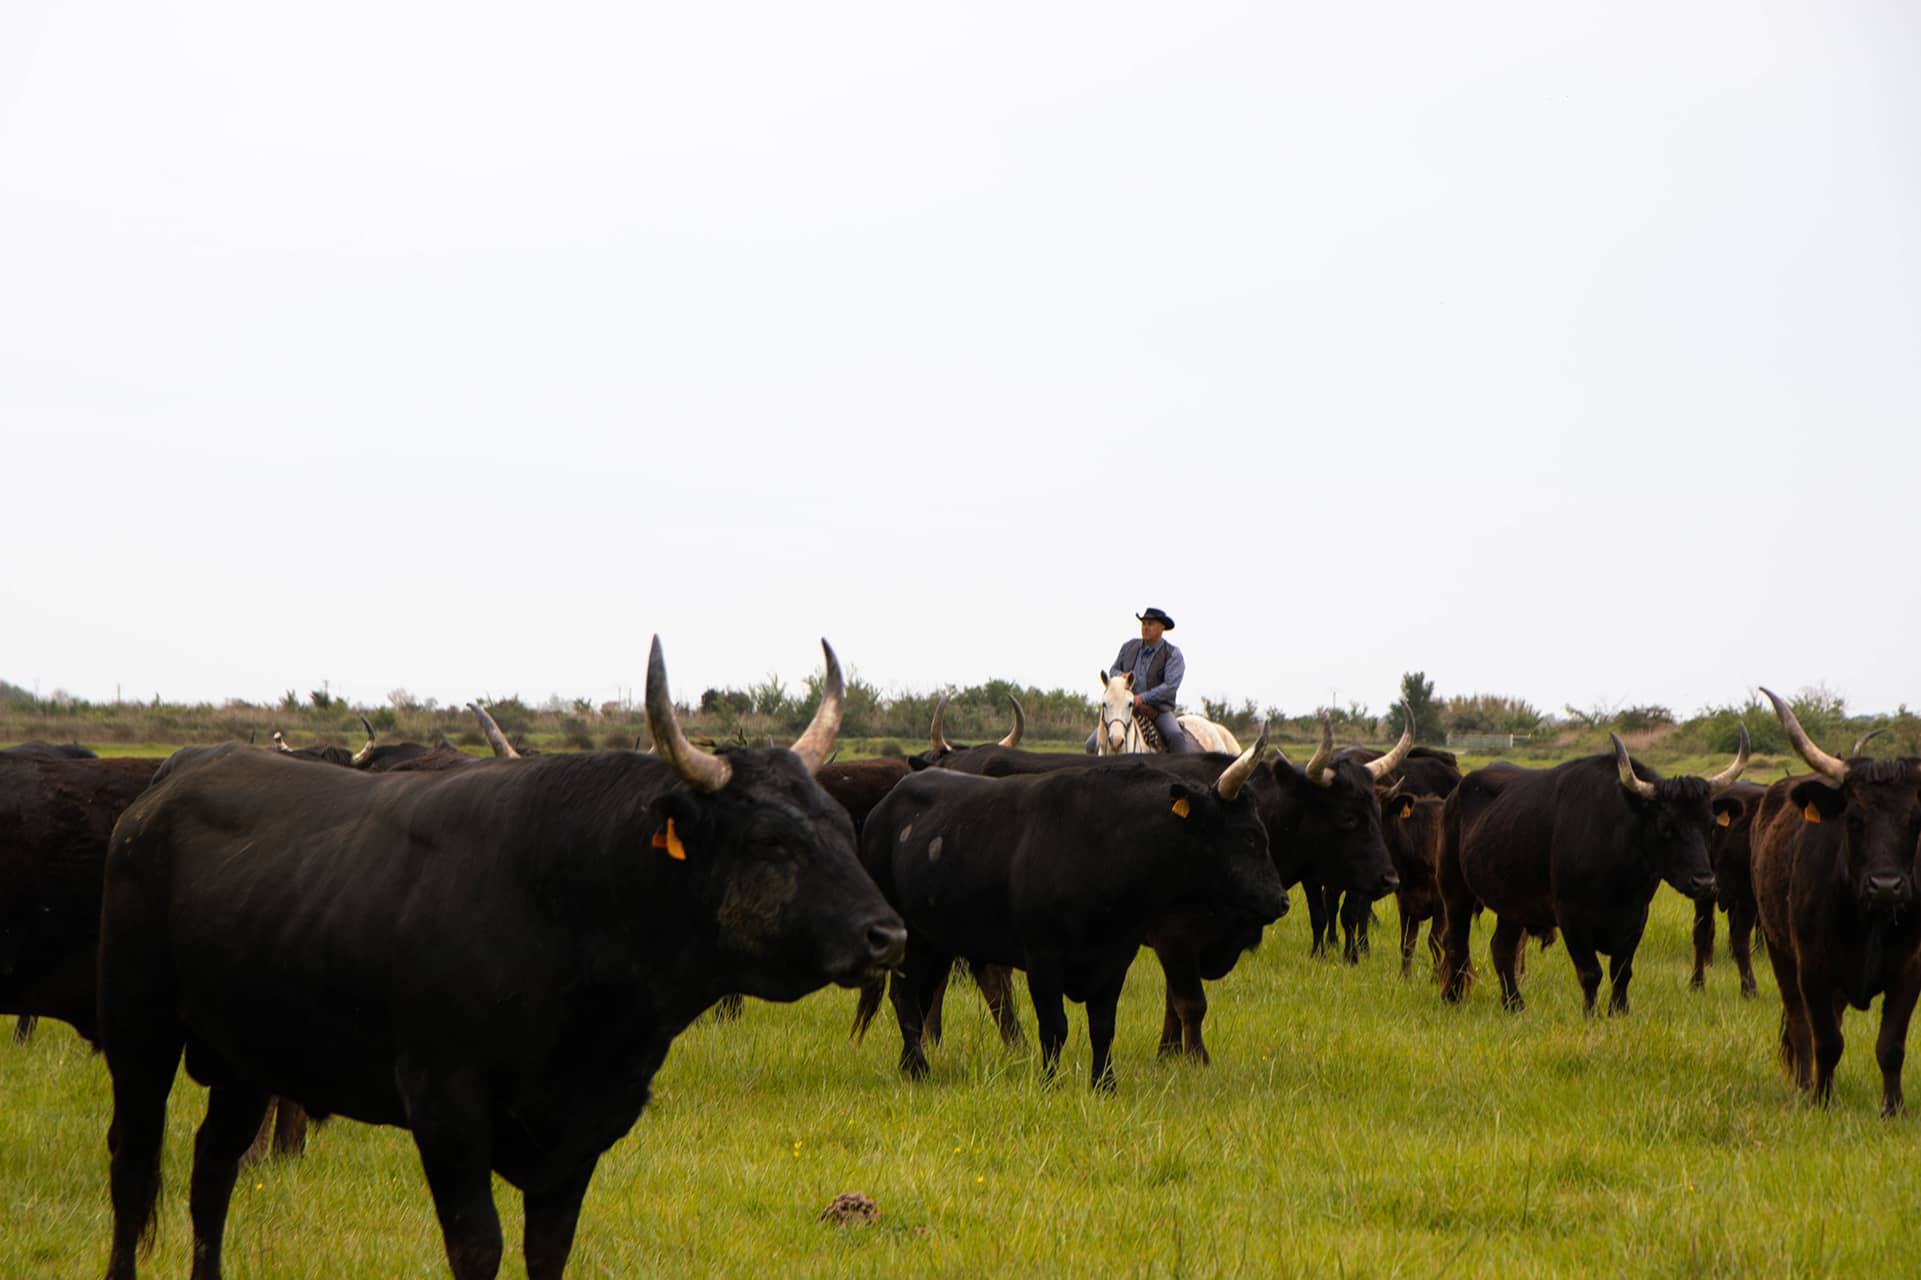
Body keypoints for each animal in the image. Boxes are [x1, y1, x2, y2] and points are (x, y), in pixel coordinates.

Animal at [90, 638, 899, 1276]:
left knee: (212, 1171)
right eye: (770, 841)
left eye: (838, 823)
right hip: (139, 1037)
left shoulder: (584, 1129)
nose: (888, 936)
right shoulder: (446, 1109)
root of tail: (166, 787)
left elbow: (549, 1251)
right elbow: (478, 1248)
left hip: (245, 1057)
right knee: (133, 1170)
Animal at [1759, 684, 1921, 1114]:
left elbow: (1891, 1047)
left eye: (1915, 820)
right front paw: (1820, 1099)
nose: (1886, 886)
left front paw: (1893, 1108)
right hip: (1779, 952)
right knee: (1800, 1026)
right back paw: (1803, 1084)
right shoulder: (1812, 968)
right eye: (1853, 817)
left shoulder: (1910, 971)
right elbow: (1826, 1041)